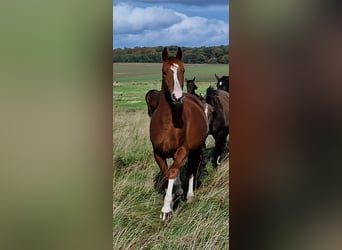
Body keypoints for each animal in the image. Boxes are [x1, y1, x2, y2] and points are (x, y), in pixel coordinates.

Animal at [150, 47, 208, 222]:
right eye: (164, 72)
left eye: (183, 70)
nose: (177, 96)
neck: (168, 123)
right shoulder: (158, 153)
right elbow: (167, 173)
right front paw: (174, 192)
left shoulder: (182, 150)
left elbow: (173, 171)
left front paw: (166, 209)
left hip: (195, 149)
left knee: (191, 168)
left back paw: (189, 195)